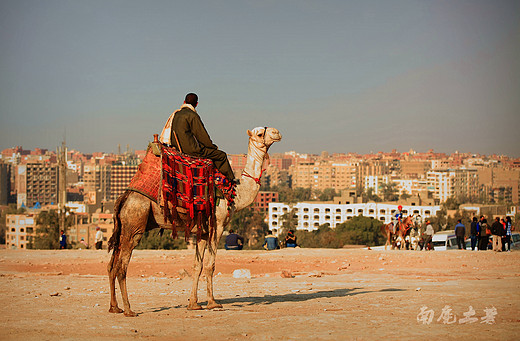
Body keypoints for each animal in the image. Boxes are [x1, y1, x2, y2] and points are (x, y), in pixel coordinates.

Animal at [107, 126, 282, 314]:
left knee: (112, 265)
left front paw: (194, 303)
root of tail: (123, 199)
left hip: (123, 227)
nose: (277, 132)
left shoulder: (203, 232)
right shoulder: (217, 226)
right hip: (135, 223)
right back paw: (128, 309)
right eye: (259, 133)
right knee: (122, 266)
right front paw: (213, 302)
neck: (236, 193)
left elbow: (197, 266)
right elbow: (210, 266)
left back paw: (114, 307)